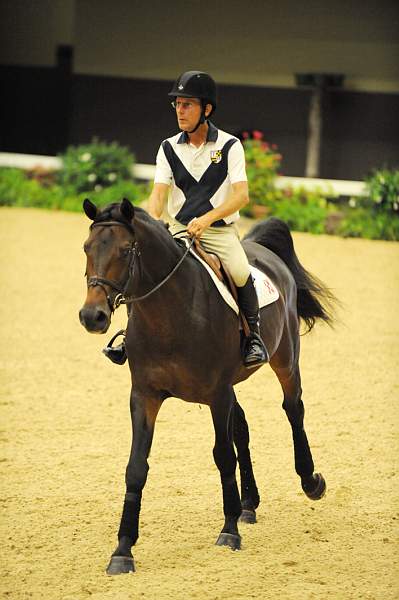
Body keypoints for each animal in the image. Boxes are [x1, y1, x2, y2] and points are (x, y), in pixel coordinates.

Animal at [79, 195, 336, 576]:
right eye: (87, 247)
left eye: (126, 250)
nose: (92, 316)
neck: (169, 314)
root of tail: (261, 250)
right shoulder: (145, 396)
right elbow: (136, 467)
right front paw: (123, 550)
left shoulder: (216, 394)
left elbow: (223, 456)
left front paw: (228, 532)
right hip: (232, 387)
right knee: (242, 426)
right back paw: (249, 504)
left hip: (284, 359)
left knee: (293, 409)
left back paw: (310, 482)